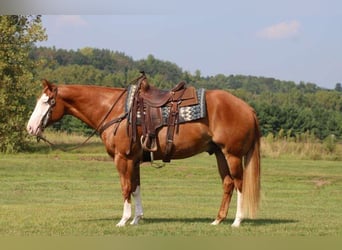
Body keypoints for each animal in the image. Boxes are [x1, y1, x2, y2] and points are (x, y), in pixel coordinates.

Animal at [26, 78, 260, 229]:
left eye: (47, 101)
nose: (30, 128)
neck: (115, 110)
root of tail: (248, 108)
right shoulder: (135, 160)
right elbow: (136, 188)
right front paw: (137, 219)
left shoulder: (123, 158)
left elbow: (125, 188)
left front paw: (123, 220)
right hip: (219, 153)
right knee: (228, 184)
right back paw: (218, 220)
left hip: (232, 154)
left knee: (239, 183)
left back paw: (237, 221)